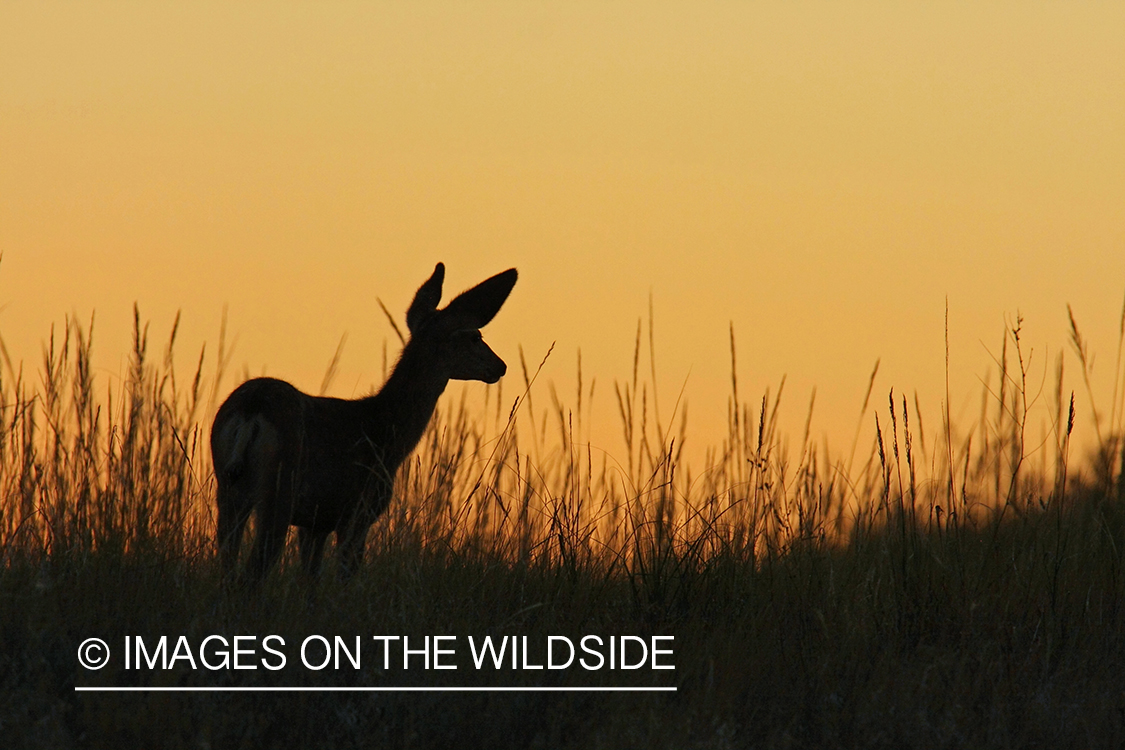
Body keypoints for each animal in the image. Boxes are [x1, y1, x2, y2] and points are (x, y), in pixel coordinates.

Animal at [210, 263, 517, 581]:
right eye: (474, 336)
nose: (500, 366)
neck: (386, 433)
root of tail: (250, 409)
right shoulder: (358, 512)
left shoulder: (315, 522)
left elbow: (310, 581)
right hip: (279, 489)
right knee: (253, 570)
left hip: (228, 487)